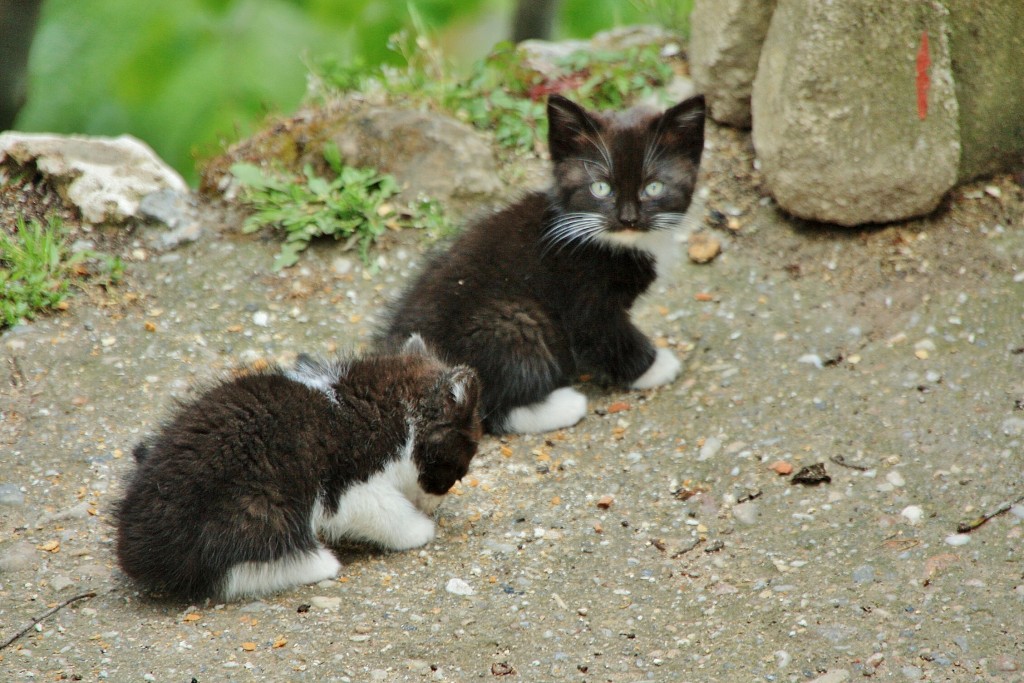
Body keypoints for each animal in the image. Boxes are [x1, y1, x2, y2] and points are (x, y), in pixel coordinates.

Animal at [114, 333, 481, 602]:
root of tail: (138, 546)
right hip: (258, 503)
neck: (394, 409)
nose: (435, 505)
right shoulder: (348, 486)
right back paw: (321, 563)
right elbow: (385, 511)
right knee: (238, 568)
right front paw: (418, 529)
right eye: (457, 471)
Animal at [380, 94, 708, 436]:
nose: (628, 218)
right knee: (489, 406)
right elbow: (607, 337)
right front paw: (657, 366)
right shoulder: (584, 298)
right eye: (601, 188)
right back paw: (563, 405)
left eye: (653, 187)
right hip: (511, 321)